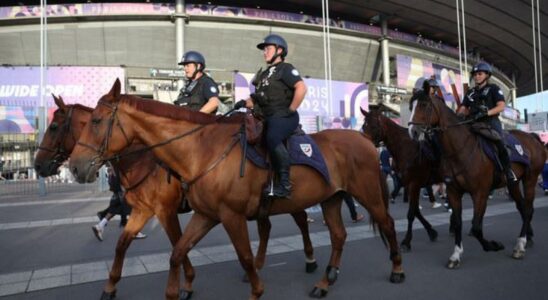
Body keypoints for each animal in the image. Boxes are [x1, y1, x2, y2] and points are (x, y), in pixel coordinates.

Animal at [35, 95, 316, 300]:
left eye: (54, 127)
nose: (38, 166)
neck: (142, 158)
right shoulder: (143, 210)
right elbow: (123, 244)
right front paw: (110, 286)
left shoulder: (165, 211)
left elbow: (176, 243)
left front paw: (188, 281)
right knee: (266, 226)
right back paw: (255, 268)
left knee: (301, 220)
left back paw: (310, 260)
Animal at [68, 79, 402, 300]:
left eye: (96, 121)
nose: (74, 167)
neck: (199, 150)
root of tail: (365, 140)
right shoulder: (201, 215)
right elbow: (174, 252)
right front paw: (176, 289)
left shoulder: (226, 216)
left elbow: (243, 255)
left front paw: (255, 287)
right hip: (331, 198)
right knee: (338, 235)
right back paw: (325, 281)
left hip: (368, 195)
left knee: (387, 223)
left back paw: (396, 269)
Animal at [362, 108, 444, 251]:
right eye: (363, 126)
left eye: (374, 126)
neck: (406, 148)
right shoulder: (410, 185)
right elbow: (415, 211)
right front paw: (431, 231)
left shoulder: (414, 184)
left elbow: (411, 213)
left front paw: (407, 240)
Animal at [408, 83, 544, 268]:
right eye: (410, 106)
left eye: (423, 105)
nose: (412, 131)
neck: (460, 149)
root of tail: (533, 137)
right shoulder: (453, 192)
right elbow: (458, 223)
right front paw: (456, 255)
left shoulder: (480, 193)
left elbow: (476, 227)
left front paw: (493, 245)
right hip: (513, 183)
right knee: (522, 207)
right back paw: (526, 239)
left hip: (530, 179)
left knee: (528, 209)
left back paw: (520, 245)